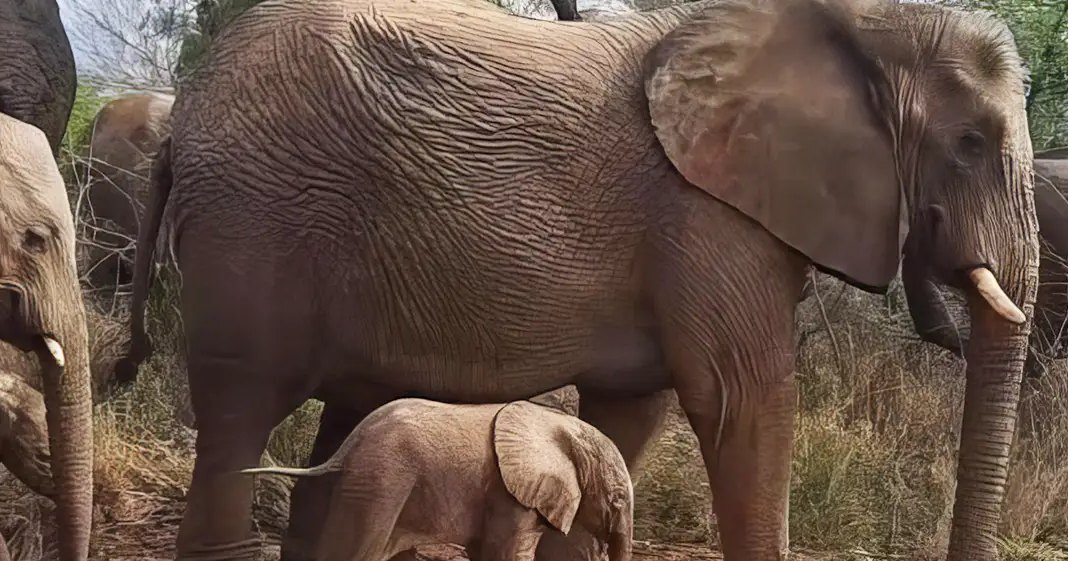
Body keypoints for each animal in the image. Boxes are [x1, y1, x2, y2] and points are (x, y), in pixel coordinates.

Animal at [242, 398, 633, 561]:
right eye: (616, 499)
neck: (561, 425)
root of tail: (352, 440)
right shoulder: (509, 496)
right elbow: (506, 552)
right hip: (383, 480)